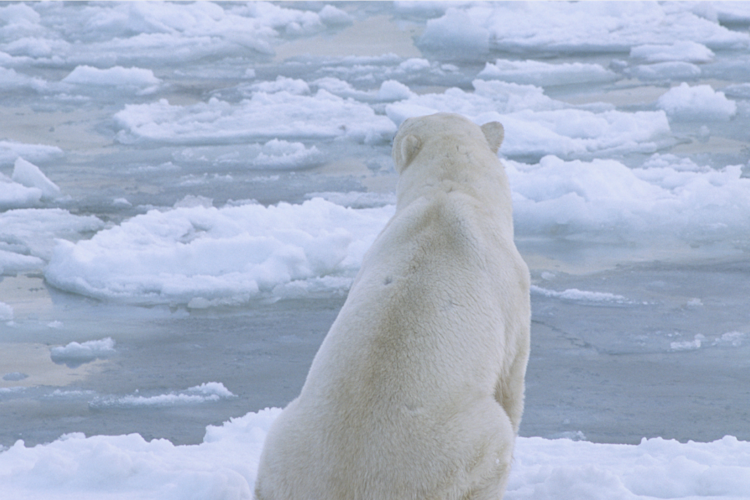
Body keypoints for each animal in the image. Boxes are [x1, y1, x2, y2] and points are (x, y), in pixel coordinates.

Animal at [255, 113, 530, 500]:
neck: (448, 193)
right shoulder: (511, 288)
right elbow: (511, 382)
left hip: (286, 442)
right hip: (453, 452)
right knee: (494, 441)